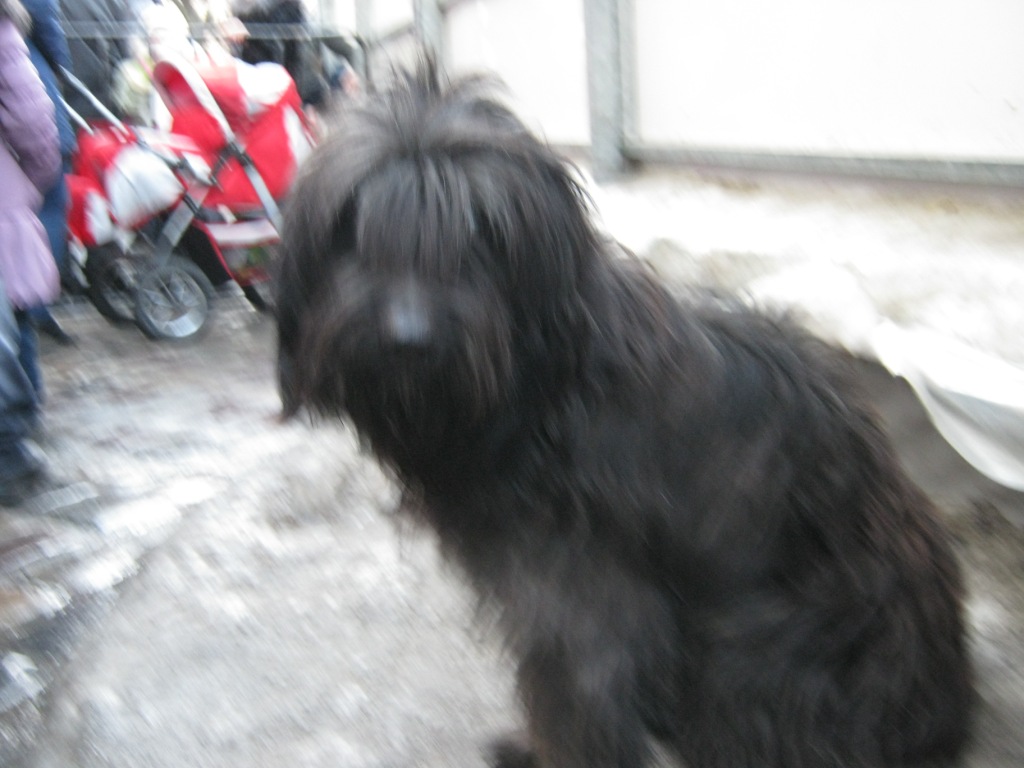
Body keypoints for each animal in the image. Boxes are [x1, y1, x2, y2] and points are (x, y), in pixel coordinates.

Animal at [275, 62, 974, 768]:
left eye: (483, 231)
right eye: (350, 224)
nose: (408, 338)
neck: (539, 392)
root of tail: (945, 711)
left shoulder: (580, 596)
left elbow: (581, 704)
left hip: (758, 645)